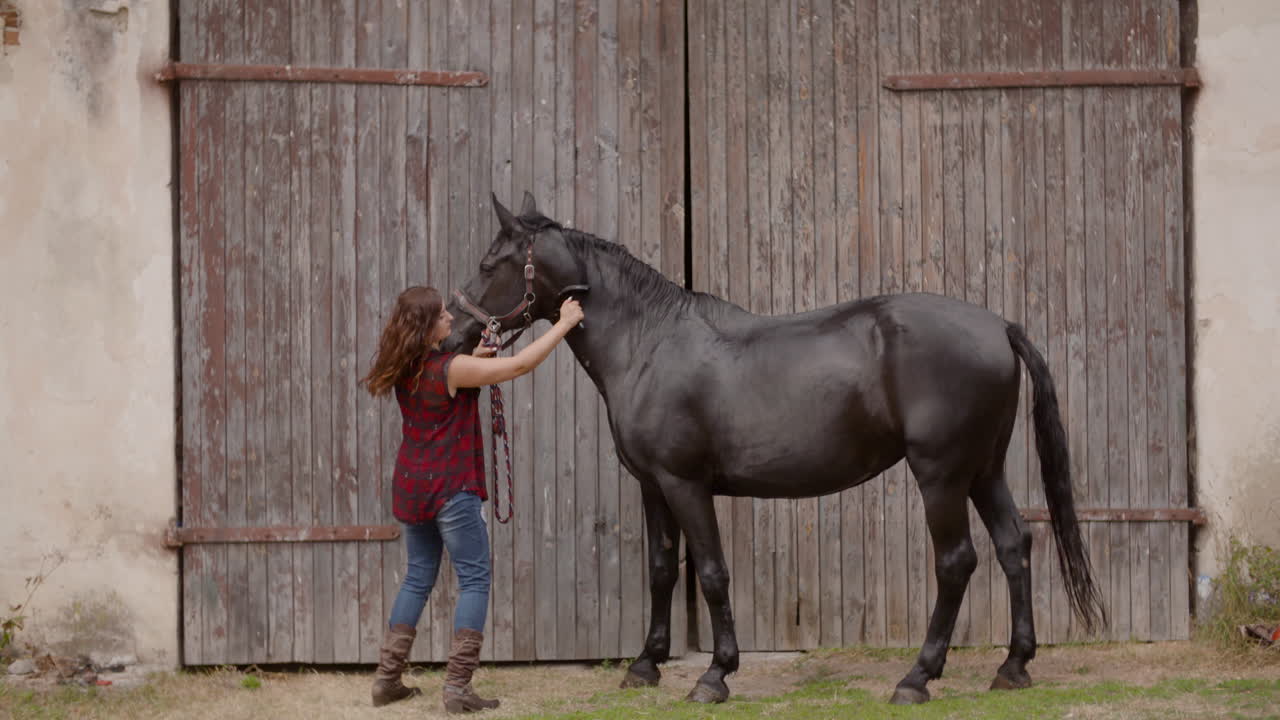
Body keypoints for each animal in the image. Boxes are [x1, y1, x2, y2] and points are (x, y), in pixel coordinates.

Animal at [441, 192, 1106, 705]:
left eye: (488, 263)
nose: (453, 331)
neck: (649, 343)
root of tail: (998, 326)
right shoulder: (653, 485)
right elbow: (661, 569)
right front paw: (646, 665)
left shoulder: (685, 484)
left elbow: (711, 574)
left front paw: (714, 675)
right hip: (983, 470)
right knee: (1014, 545)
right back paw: (1013, 667)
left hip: (941, 474)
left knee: (957, 561)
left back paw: (917, 677)